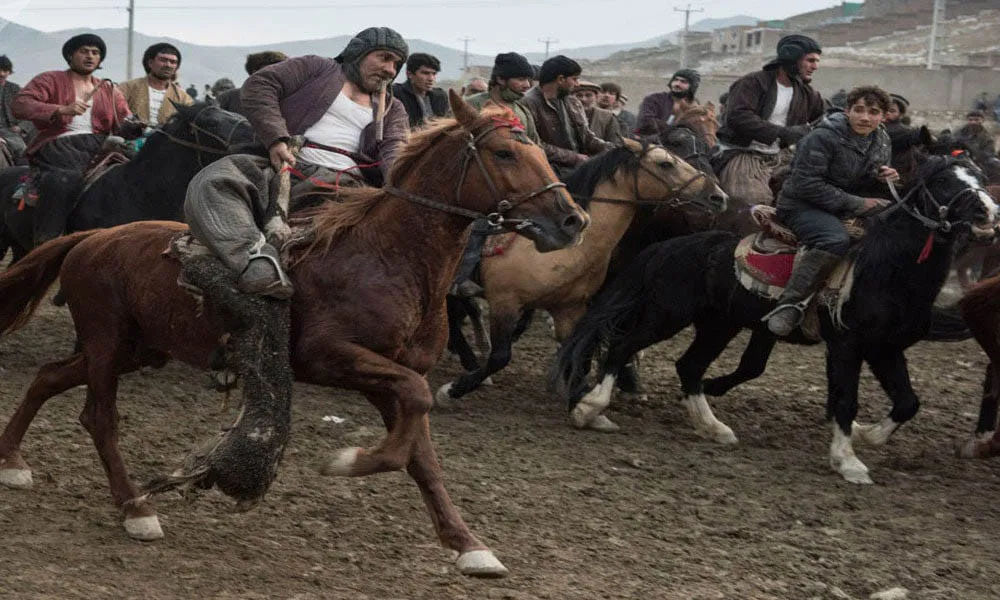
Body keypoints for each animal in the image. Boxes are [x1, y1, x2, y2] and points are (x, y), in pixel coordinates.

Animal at [0, 92, 588, 576]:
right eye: (505, 154)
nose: (573, 220)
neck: (388, 257)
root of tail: (90, 238)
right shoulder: (333, 358)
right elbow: (415, 413)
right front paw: (350, 461)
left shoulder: (391, 376)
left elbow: (421, 451)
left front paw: (468, 545)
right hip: (107, 341)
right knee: (98, 417)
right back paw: (135, 507)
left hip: (139, 348)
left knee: (49, 377)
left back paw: (12, 461)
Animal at [438, 139, 728, 426]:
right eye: (665, 163)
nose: (718, 196)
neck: (561, 249)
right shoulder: (505, 301)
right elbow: (500, 356)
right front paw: (450, 391)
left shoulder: (570, 310)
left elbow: (580, 355)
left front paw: (583, 407)